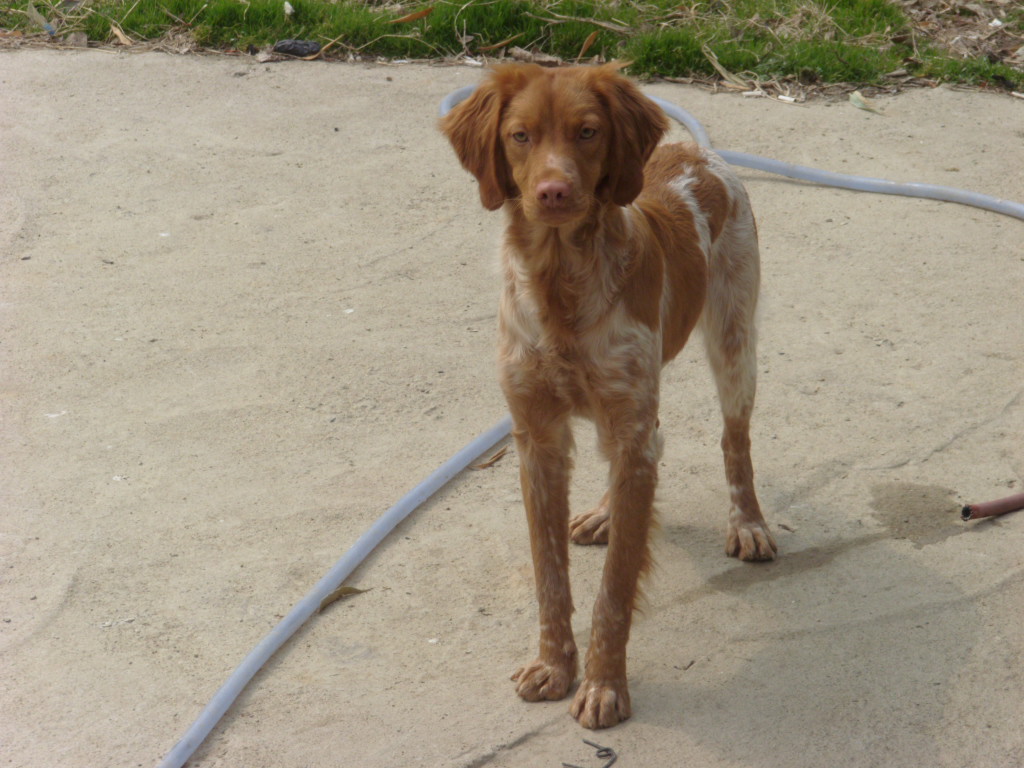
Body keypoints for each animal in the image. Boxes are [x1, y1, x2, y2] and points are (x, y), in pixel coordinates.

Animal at [441, 62, 776, 729]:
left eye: (588, 131)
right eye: (520, 136)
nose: (552, 192)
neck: (560, 283)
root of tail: (696, 150)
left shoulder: (630, 430)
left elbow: (616, 586)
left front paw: (602, 685)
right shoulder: (539, 438)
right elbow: (549, 575)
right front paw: (553, 666)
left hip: (733, 341)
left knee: (735, 439)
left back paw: (747, 521)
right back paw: (603, 510)